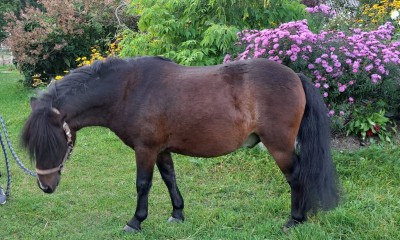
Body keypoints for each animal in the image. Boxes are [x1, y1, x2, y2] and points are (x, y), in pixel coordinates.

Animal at [21, 56, 340, 232]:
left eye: (52, 144)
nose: (45, 187)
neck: (128, 90)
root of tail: (294, 76)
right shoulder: (162, 150)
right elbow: (169, 179)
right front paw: (177, 214)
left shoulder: (146, 149)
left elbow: (143, 185)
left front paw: (135, 221)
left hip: (280, 147)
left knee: (296, 176)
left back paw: (295, 219)